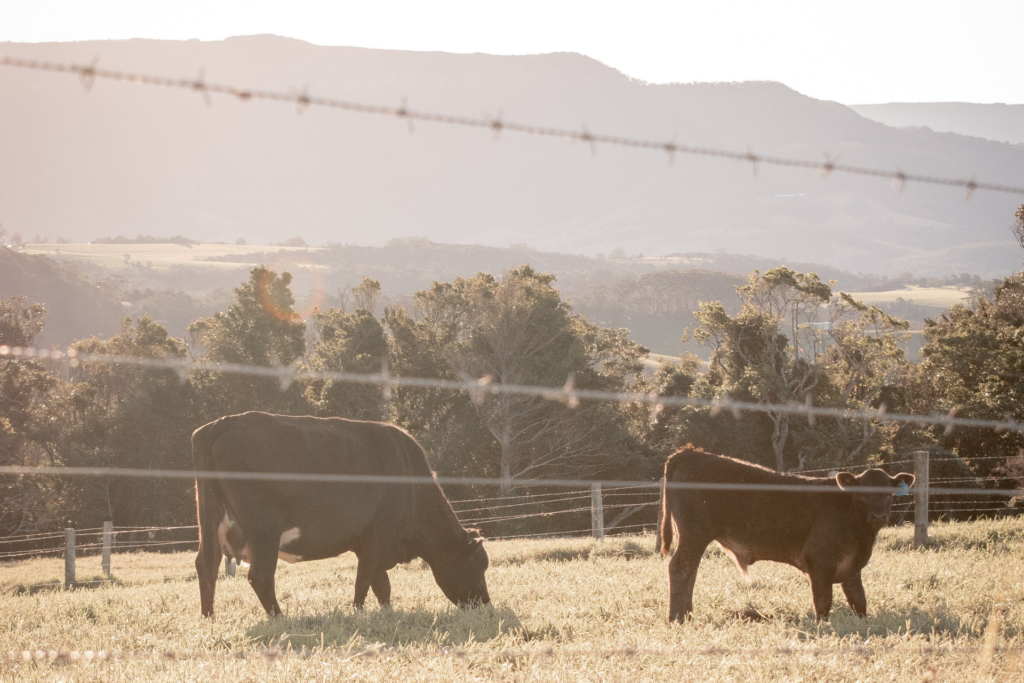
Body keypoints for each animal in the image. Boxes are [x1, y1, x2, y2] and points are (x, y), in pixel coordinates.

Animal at [196, 411, 495, 618]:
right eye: (478, 563)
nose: (485, 603)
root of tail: (222, 423)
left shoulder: (372, 547)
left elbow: (381, 586)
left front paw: (385, 612)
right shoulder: (376, 540)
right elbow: (364, 582)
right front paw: (358, 613)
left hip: (210, 521)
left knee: (207, 565)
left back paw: (209, 618)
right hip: (264, 531)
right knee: (260, 575)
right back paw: (279, 618)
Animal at [659, 446, 917, 622]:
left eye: (889, 494)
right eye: (863, 494)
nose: (878, 516)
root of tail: (689, 453)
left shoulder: (852, 568)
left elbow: (859, 601)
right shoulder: (819, 564)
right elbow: (823, 602)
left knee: (690, 571)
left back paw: (687, 614)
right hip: (694, 534)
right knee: (680, 568)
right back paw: (677, 619)